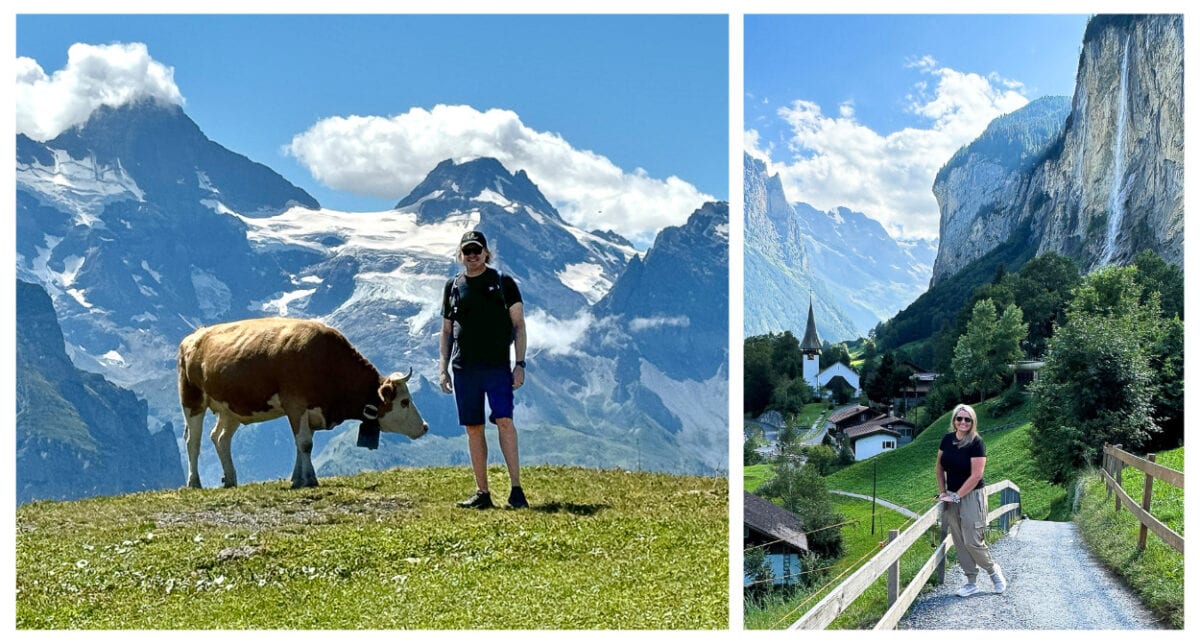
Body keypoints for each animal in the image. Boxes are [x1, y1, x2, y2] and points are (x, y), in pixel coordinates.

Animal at [175, 316, 427, 486]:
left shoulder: (310, 410)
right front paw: (310, 479)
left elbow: (302, 444)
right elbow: (305, 443)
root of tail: (193, 337)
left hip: (231, 409)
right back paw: (194, 482)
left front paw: (298, 478)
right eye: (405, 401)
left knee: (220, 438)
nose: (425, 427)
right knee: (193, 441)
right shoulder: (295, 404)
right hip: (192, 400)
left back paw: (230, 479)